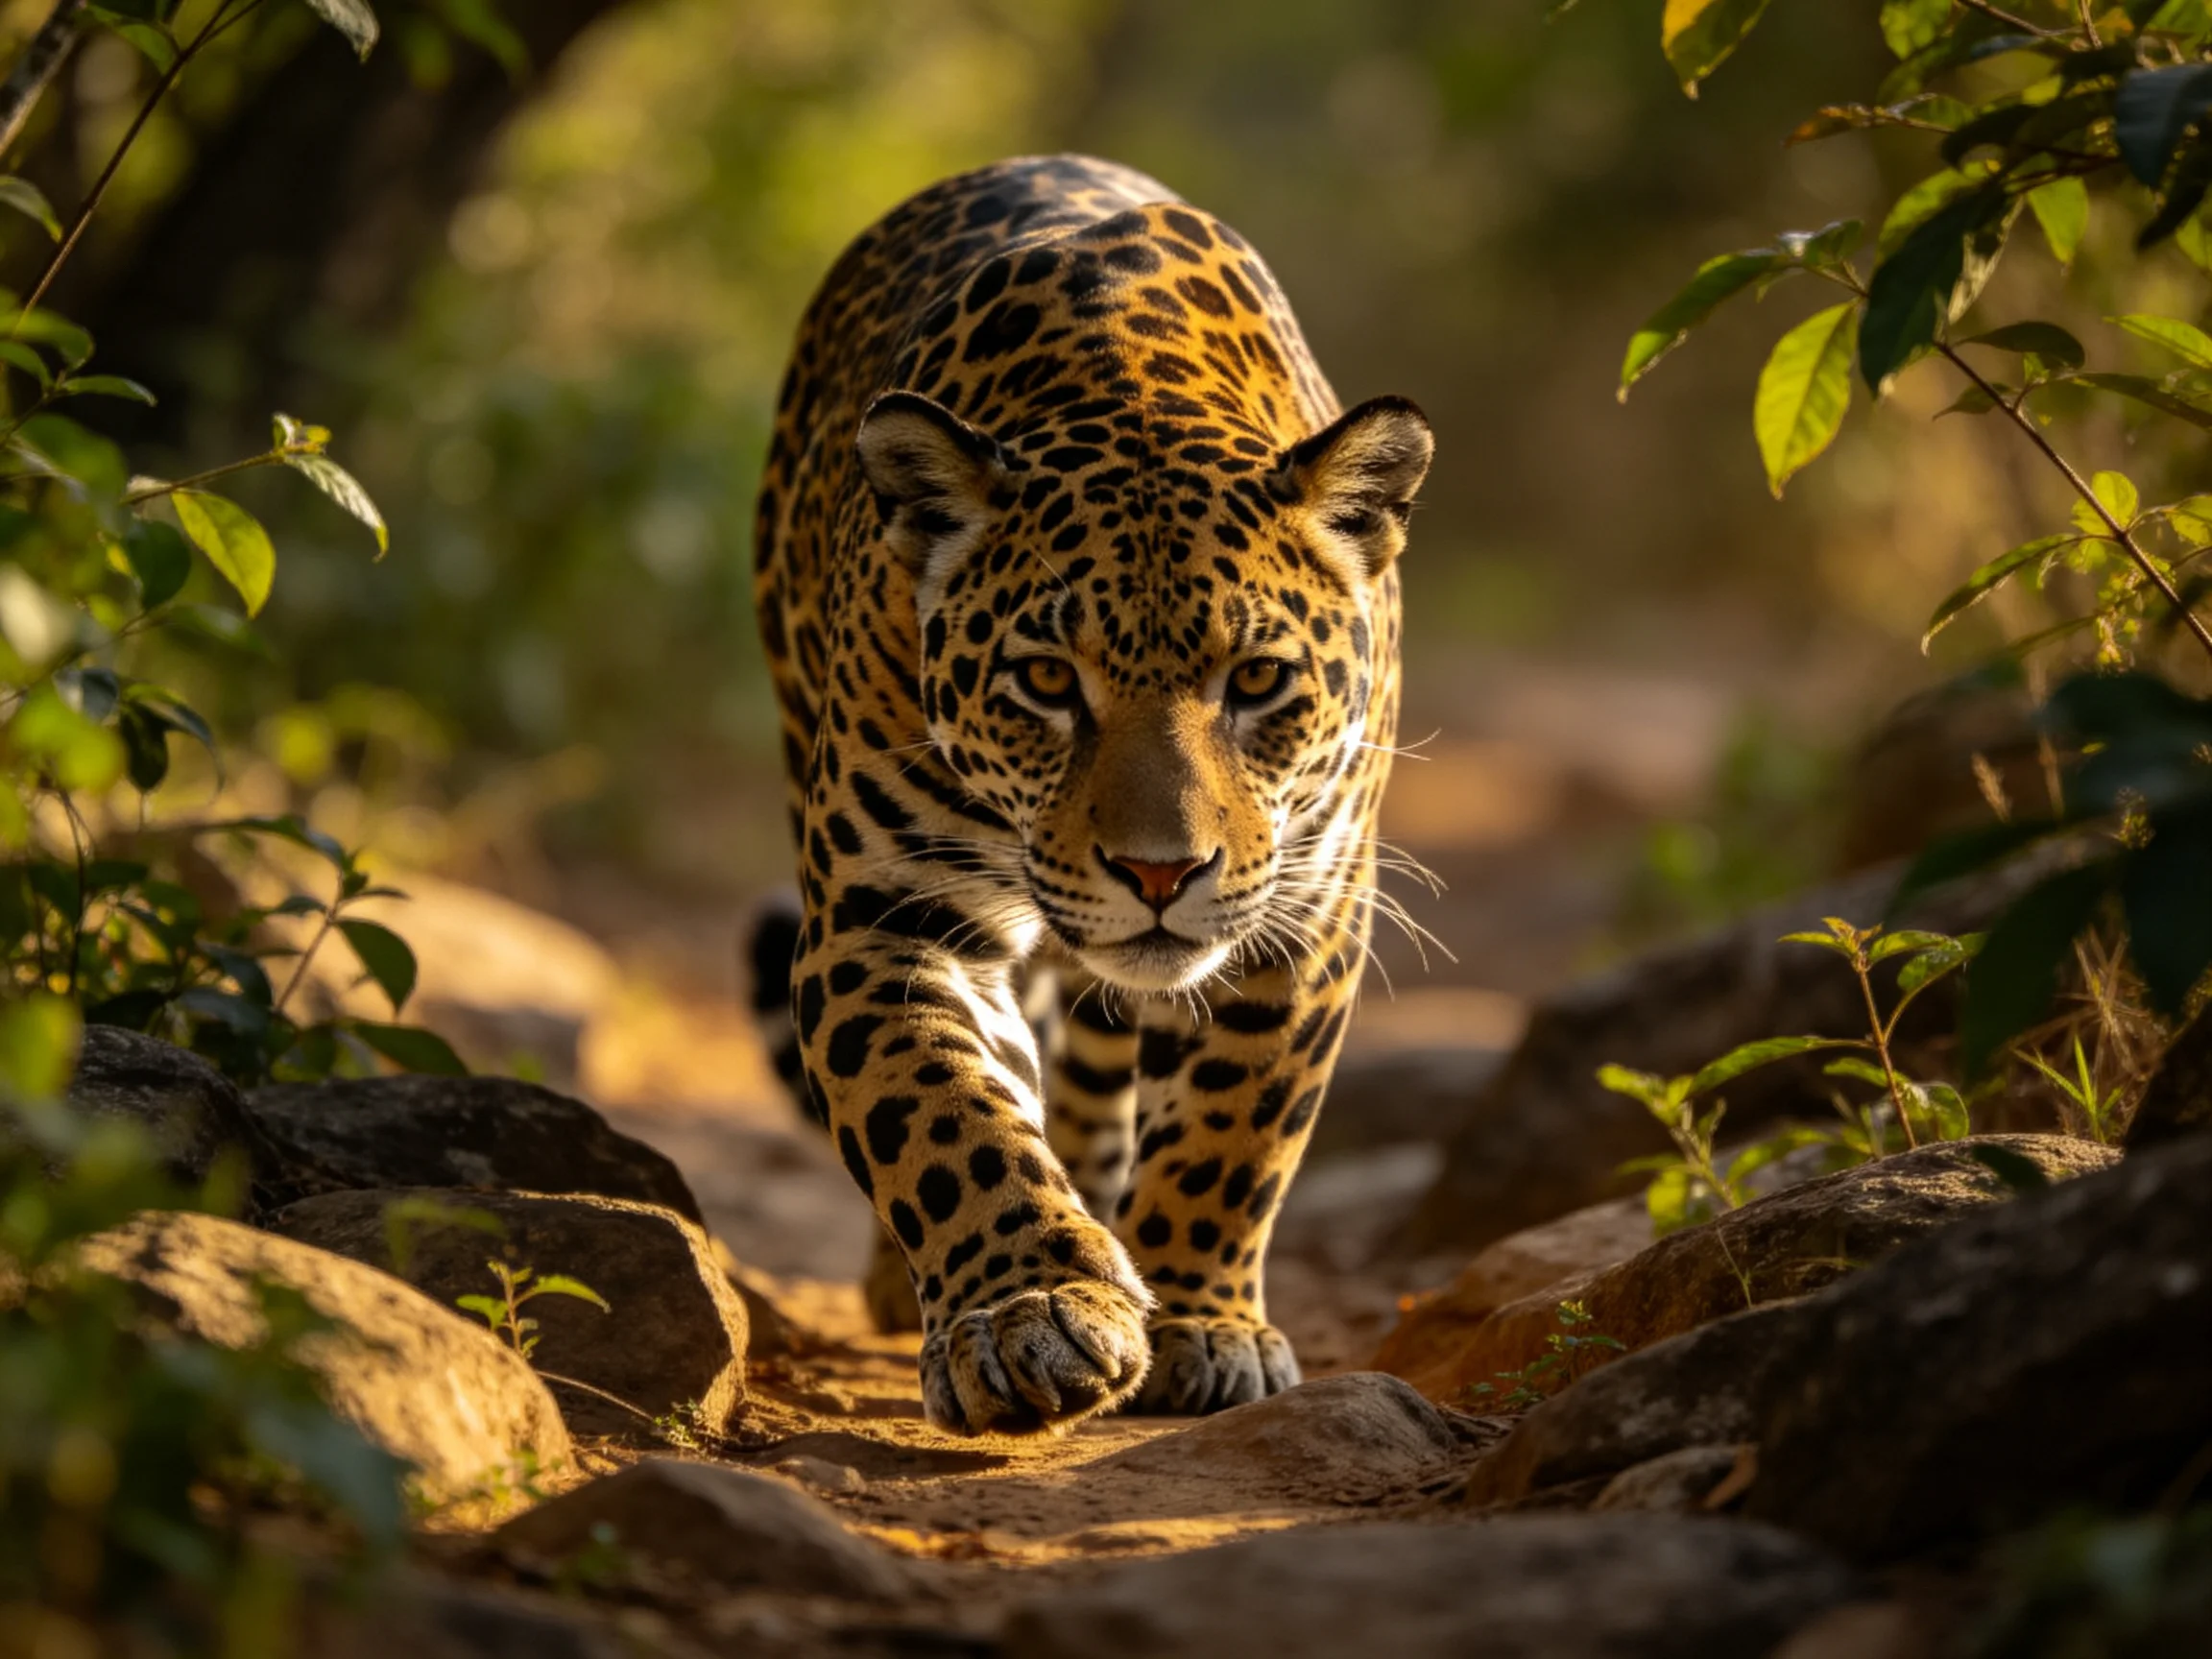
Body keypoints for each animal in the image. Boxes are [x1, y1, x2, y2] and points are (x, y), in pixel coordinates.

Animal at [749, 154, 1432, 1435]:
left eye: (1255, 680)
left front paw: (1203, 1324)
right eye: (1047, 681)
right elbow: (942, 1114)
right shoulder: (884, 917)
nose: (1160, 872)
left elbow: (1233, 1127)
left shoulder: (1304, 914)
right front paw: (1032, 1313)